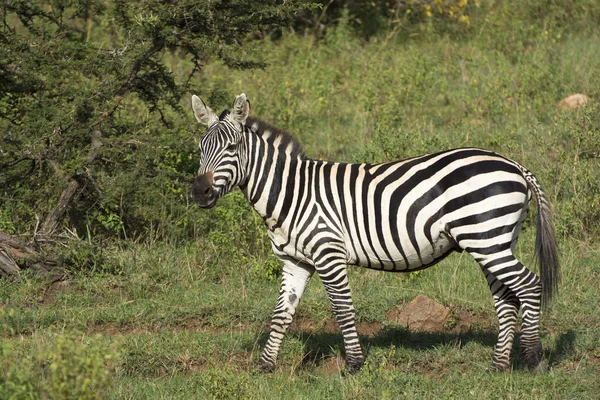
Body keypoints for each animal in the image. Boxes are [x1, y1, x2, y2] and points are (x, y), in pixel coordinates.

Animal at [190, 93, 560, 372]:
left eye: (232, 148)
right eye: (200, 150)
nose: (199, 192)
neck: (291, 193)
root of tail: (513, 164)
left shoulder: (329, 253)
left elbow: (342, 309)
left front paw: (354, 364)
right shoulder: (295, 262)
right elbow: (282, 314)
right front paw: (265, 366)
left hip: (487, 239)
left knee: (530, 285)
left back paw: (534, 359)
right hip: (495, 240)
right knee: (506, 298)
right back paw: (498, 366)